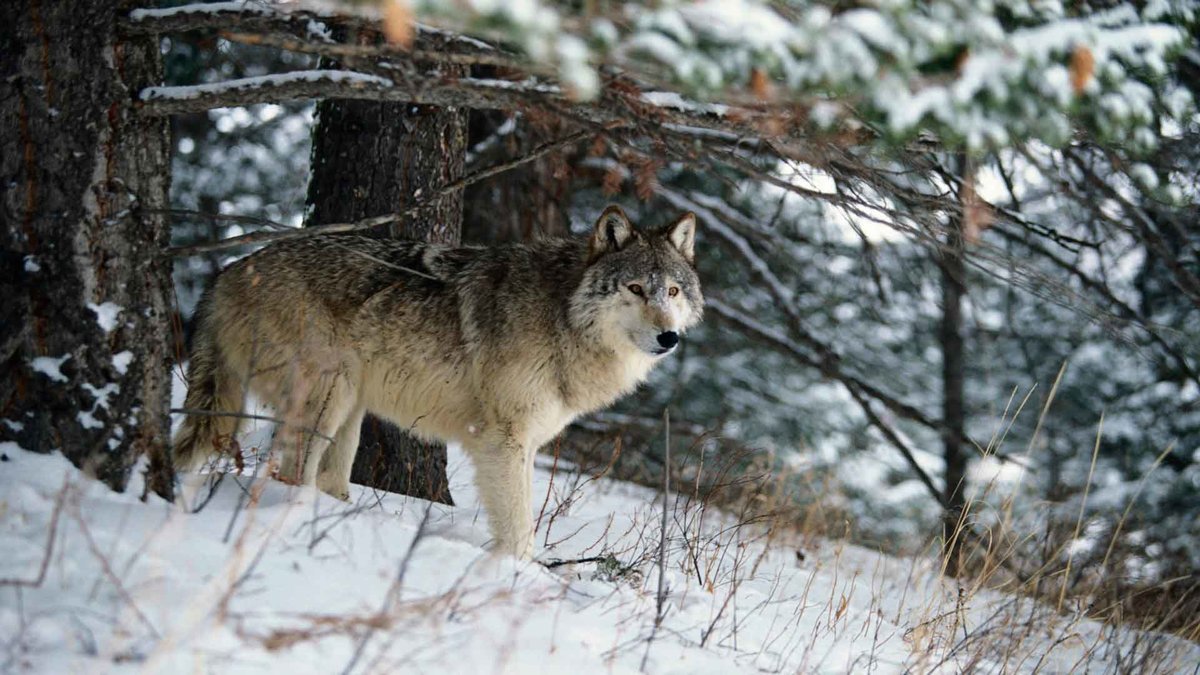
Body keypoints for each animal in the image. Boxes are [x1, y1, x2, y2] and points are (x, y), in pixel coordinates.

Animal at [175, 205, 700, 557]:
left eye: (673, 291)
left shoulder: (526, 441)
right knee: (291, 475)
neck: (561, 315)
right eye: (636, 288)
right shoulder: (503, 440)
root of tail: (228, 271)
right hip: (328, 396)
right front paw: (518, 578)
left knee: (327, 478)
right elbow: (520, 529)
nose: (669, 337)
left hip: (349, 408)